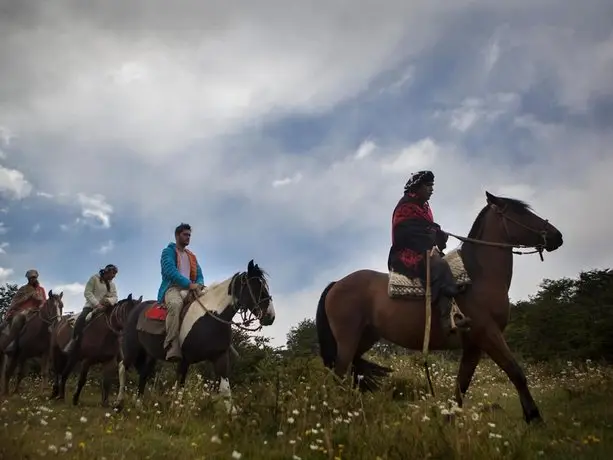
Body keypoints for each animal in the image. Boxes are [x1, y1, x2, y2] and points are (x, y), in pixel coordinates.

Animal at [114, 258, 274, 414]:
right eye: (256, 287)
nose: (270, 317)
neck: (210, 317)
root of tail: (136, 309)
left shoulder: (220, 357)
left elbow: (225, 389)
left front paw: (232, 415)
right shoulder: (183, 360)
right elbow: (179, 388)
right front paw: (175, 413)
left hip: (150, 355)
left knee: (143, 374)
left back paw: (138, 405)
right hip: (132, 349)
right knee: (122, 367)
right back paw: (118, 404)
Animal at [316, 191, 564, 424]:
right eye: (522, 213)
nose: (557, 236)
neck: (480, 275)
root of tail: (336, 283)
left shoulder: (474, 346)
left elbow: (461, 385)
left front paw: (449, 420)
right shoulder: (488, 334)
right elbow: (516, 372)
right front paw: (534, 417)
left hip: (365, 337)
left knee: (351, 373)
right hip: (348, 339)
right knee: (339, 376)